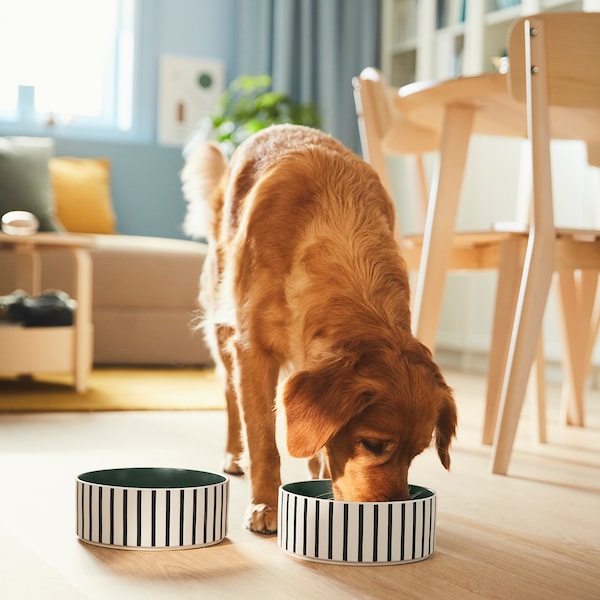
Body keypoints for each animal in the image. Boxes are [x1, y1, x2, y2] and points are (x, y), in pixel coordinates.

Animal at [180, 124, 458, 532]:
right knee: (231, 400)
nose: (391, 514)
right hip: (221, 321)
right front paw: (266, 505)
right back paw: (233, 453)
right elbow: (262, 440)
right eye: (373, 444)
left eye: (417, 452)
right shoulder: (251, 350)